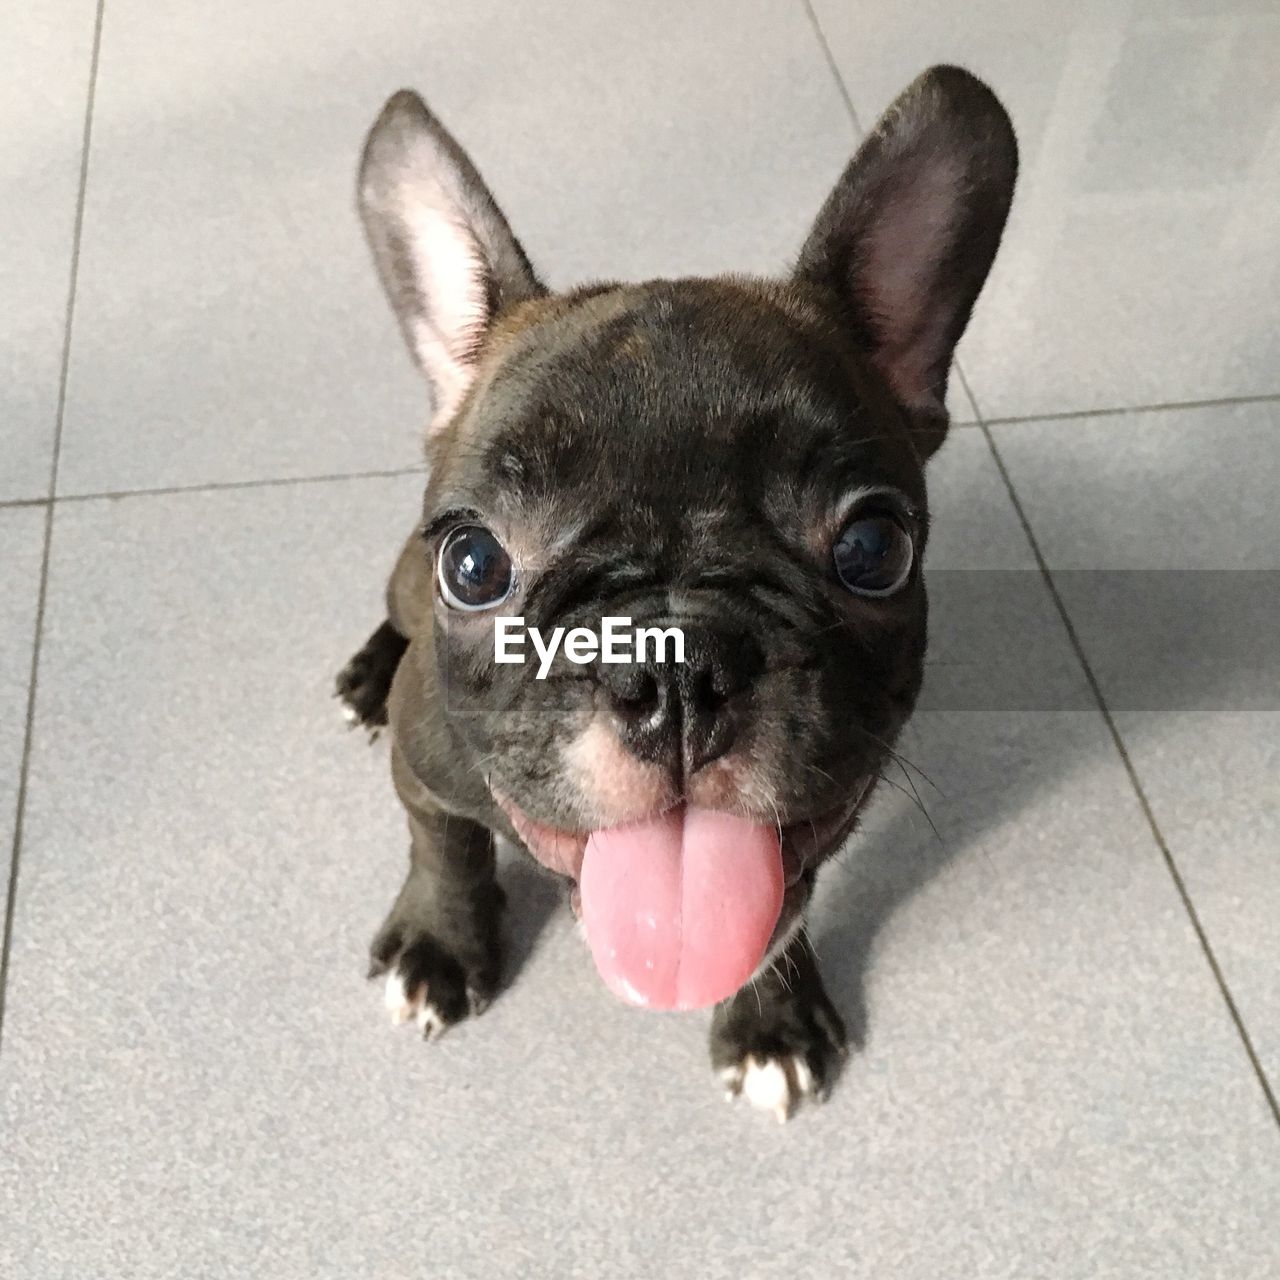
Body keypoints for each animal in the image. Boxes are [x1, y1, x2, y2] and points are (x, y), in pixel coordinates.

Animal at [340, 67, 1018, 1121]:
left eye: (873, 547)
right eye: (473, 563)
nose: (672, 667)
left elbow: (775, 917)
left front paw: (770, 1021)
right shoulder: (427, 773)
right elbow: (443, 846)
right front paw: (441, 945)